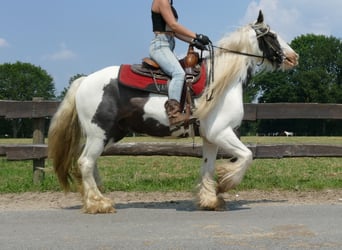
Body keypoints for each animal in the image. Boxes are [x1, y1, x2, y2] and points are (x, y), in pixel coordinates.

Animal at [48, 11, 300, 213]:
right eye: (271, 35)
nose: (293, 57)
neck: (221, 82)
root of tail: (84, 81)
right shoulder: (221, 132)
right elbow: (247, 155)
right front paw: (225, 183)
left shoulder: (211, 137)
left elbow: (208, 166)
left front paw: (210, 200)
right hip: (99, 133)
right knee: (85, 162)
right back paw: (98, 203)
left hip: (110, 134)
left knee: (90, 163)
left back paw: (97, 197)